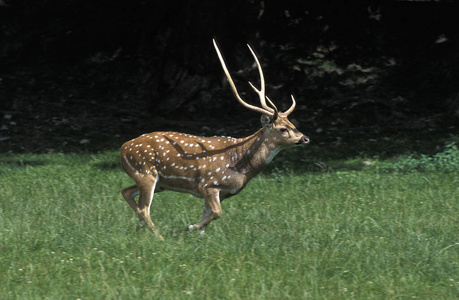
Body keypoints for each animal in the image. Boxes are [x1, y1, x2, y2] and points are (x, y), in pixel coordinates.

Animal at [120, 39, 310, 239]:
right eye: (283, 129)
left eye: (292, 123)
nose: (305, 138)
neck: (240, 165)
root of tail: (123, 148)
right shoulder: (209, 184)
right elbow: (217, 213)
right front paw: (189, 227)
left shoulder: (219, 192)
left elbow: (208, 215)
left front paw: (198, 235)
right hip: (145, 172)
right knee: (143, 208)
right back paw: (159, 237)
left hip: (158, 182)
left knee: (126, 192)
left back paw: (141, 228)